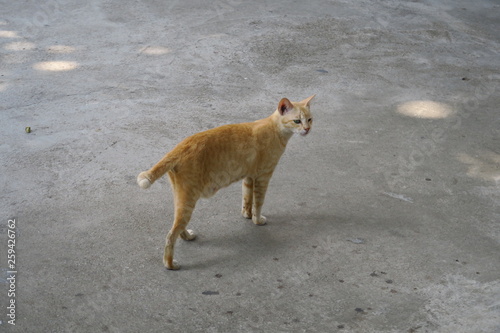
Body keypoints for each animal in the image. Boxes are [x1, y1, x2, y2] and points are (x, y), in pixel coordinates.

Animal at [137, 94, 314, 270]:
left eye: (310, 119)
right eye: (297, 121)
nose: (307, 129)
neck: (275, 129)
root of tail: (178, 148)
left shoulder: (249, 177)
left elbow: (247, 199)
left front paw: (247, 215)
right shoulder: (263, 177)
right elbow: (258, 203)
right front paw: (257, 220)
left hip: (180, 198)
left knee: (177, 227)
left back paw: (187, 236)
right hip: (188, 200)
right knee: (170, 235)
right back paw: (170, 264)